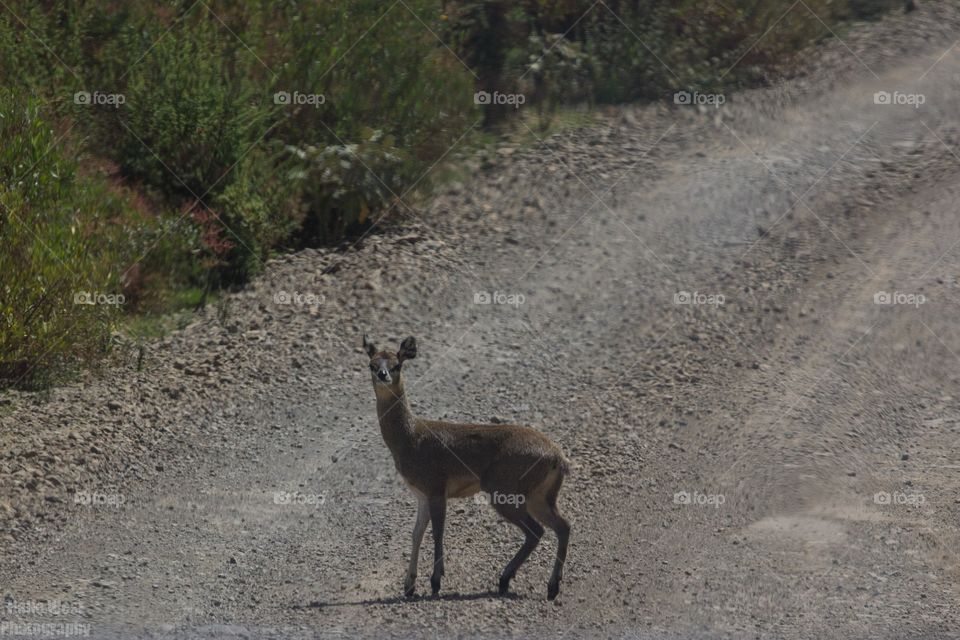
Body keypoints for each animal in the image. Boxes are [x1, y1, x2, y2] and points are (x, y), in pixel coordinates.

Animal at [362, 336, 568, 600]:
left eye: (397, 364)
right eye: (372, 364)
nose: (383, 374)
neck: (410, 438)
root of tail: (558, 457)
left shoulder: (436, 488)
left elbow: (437, 531)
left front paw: (435, 582)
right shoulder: (421, 495)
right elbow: (416, 533)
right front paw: (409, 585)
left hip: (504, 491)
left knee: (536, 530)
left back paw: (515, 581)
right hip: (539, 496)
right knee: (561, 527)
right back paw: (543, 586)